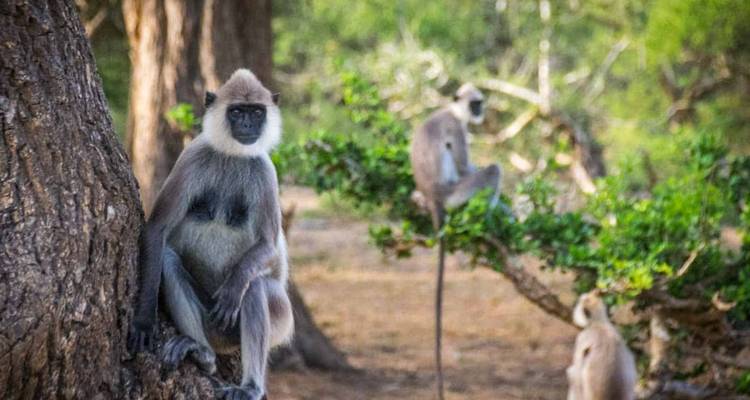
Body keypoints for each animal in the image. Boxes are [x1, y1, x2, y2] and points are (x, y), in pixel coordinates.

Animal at [128, 69, 293, 400]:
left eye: (256, 112)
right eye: (237, 112)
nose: (247, 125)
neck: (233, 155)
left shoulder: (265, 172)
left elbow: (267, 246)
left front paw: (234, 285)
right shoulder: (192, 156)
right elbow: (157, 229)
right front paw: (143, 320)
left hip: (278, 319)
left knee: (255, 287)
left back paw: (250, 386)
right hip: (213, 326)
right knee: (168, 260)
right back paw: (203, 354)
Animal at [410, 83, 502, 400]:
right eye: (474, 104)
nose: (480, 111)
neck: (451, 110)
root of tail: (434, 197)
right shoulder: (457, 128)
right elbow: (465, 167)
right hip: (455, 192)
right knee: (493, 170)